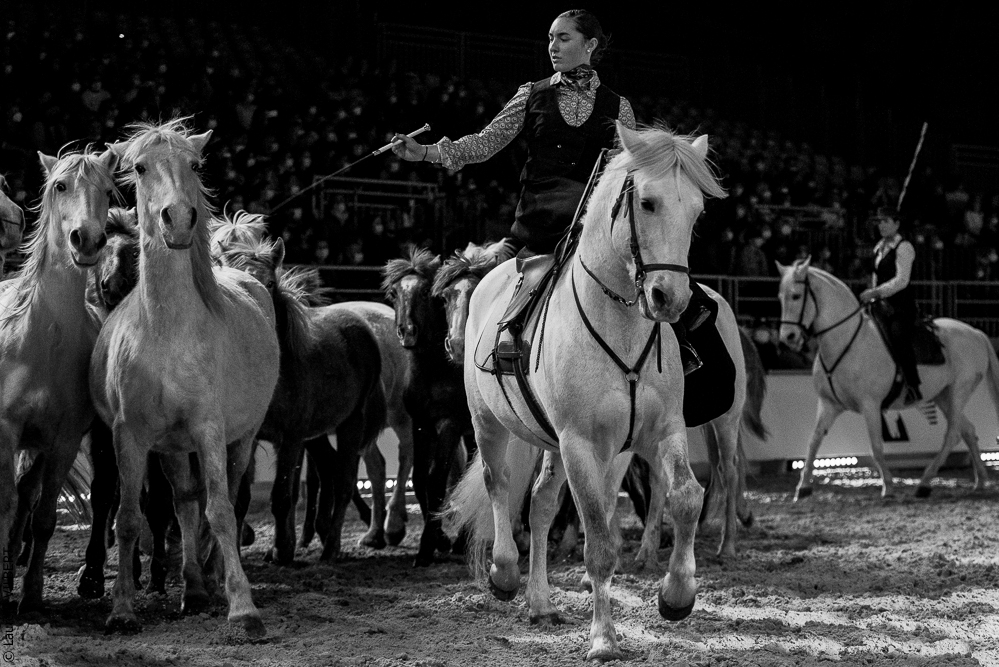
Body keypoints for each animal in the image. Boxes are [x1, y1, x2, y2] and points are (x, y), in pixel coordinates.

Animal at [91, 119, 280, 637]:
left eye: (194, 165)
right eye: (139, 167)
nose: (177, 219)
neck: (167, 330)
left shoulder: (210, 431)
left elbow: (220, 510)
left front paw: (243, 607)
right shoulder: (130, 437)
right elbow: (130, 518)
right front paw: (121, 609)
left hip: (241, 438)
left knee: (229, 496)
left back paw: (214, 576)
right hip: (172, 448)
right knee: (183, 501)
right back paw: (193, 587)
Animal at [209, 213, 414, 553]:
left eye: (268, 282)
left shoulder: (292, 438)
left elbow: (283, 494)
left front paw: (282, 549)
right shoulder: (251, 436)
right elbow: (242, 496)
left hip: (366, 421)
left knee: (364, 471)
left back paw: (349, 538)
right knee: (361, 467)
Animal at [383, 246, 473, 567]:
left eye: (424, 293)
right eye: (394, 293)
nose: (407, 331)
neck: (435, 371)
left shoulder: (449, 424)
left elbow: (436, 480)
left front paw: (427, 547)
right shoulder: (421, 424)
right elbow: (420, 479)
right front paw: (440, 539)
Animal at [447, 123, 727, 661]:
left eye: (698, 212)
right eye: (648, 202)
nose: (671, 299)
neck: (621, 326)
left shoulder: (662, 431)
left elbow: (685, 496)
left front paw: (676, 595)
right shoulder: (580, 443)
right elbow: (598, 542)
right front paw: (602, 638)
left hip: (553, 444)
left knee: (539, 504)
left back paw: (539, 602)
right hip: (488, 423)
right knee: (499, 485)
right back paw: (505, 574)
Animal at [777, 257, 997, 499]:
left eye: (796, 296)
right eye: (780, 296)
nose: (787, 337)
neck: (846, 341)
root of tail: (976, 333)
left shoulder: (870, 405)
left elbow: (876, 447)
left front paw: (889, 487)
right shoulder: (828, 404)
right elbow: (814, 440)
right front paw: (803, 487)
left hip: (959, 391)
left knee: (952, 434)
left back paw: (925, 483)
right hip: (943, 396)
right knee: (968, 431)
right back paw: (980, 481)